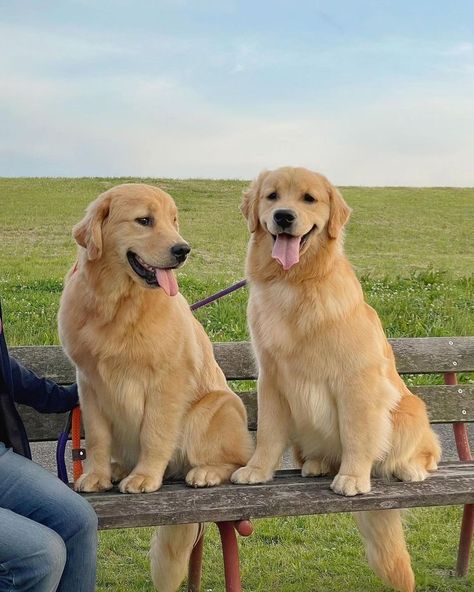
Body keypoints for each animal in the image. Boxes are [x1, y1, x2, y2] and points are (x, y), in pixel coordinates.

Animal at [58, 183, 254, 588]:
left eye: (173, 220)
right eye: (144, 220)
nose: (183, 250)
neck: (117, 304)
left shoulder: (166, 381)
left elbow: (154, 434)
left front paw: (146, 477)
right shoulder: (89, 383)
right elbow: (96, 437)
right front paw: (97, 475)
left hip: (215, 407)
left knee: (236, 459)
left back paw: (204, 472)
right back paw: (118, 468)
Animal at [231, 168, 442, 592]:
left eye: (309, 199)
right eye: (272, 196)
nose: (283, 216)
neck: (293, 284)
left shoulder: (356, 381)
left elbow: (358, 434)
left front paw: (353, 477)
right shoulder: (271, 379)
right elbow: (268, 435)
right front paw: (258, 471)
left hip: (411, 408)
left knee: (429, 453)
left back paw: (407, 467)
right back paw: (317, 464)